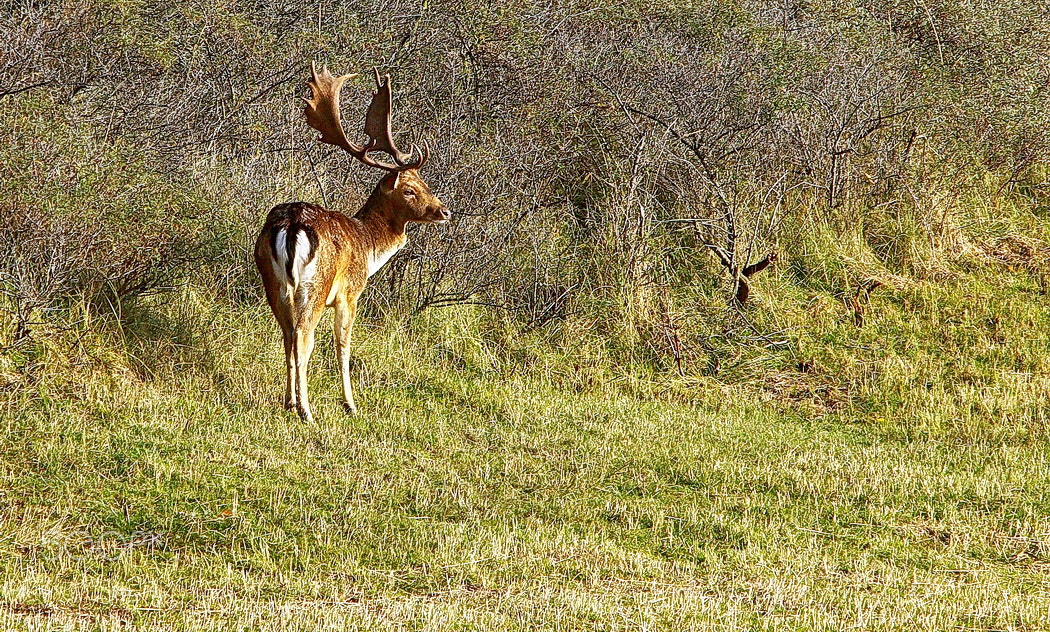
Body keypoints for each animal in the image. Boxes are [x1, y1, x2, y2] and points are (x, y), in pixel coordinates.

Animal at [258, 64, 451, 419]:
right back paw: (307, 411)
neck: (369, 245)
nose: (444, 211)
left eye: (425, 183)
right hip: (316, 286)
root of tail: (291, 225)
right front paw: (350, 404)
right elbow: (343, 346)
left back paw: (290, 402)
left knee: (287, 335)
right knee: (303, 337)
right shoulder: (350, 292)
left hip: (272, 281)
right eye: (409, 190)